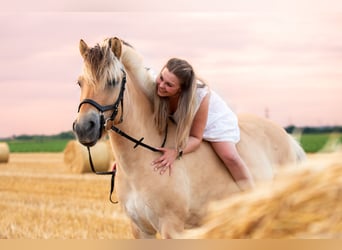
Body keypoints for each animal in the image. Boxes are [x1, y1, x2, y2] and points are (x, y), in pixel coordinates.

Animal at [73, 36, 306, 238]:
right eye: (79, 82)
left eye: (113, 81)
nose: (84, 128)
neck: (143, 158)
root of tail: (287, 138)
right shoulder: (141, 230)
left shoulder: (172, 228)